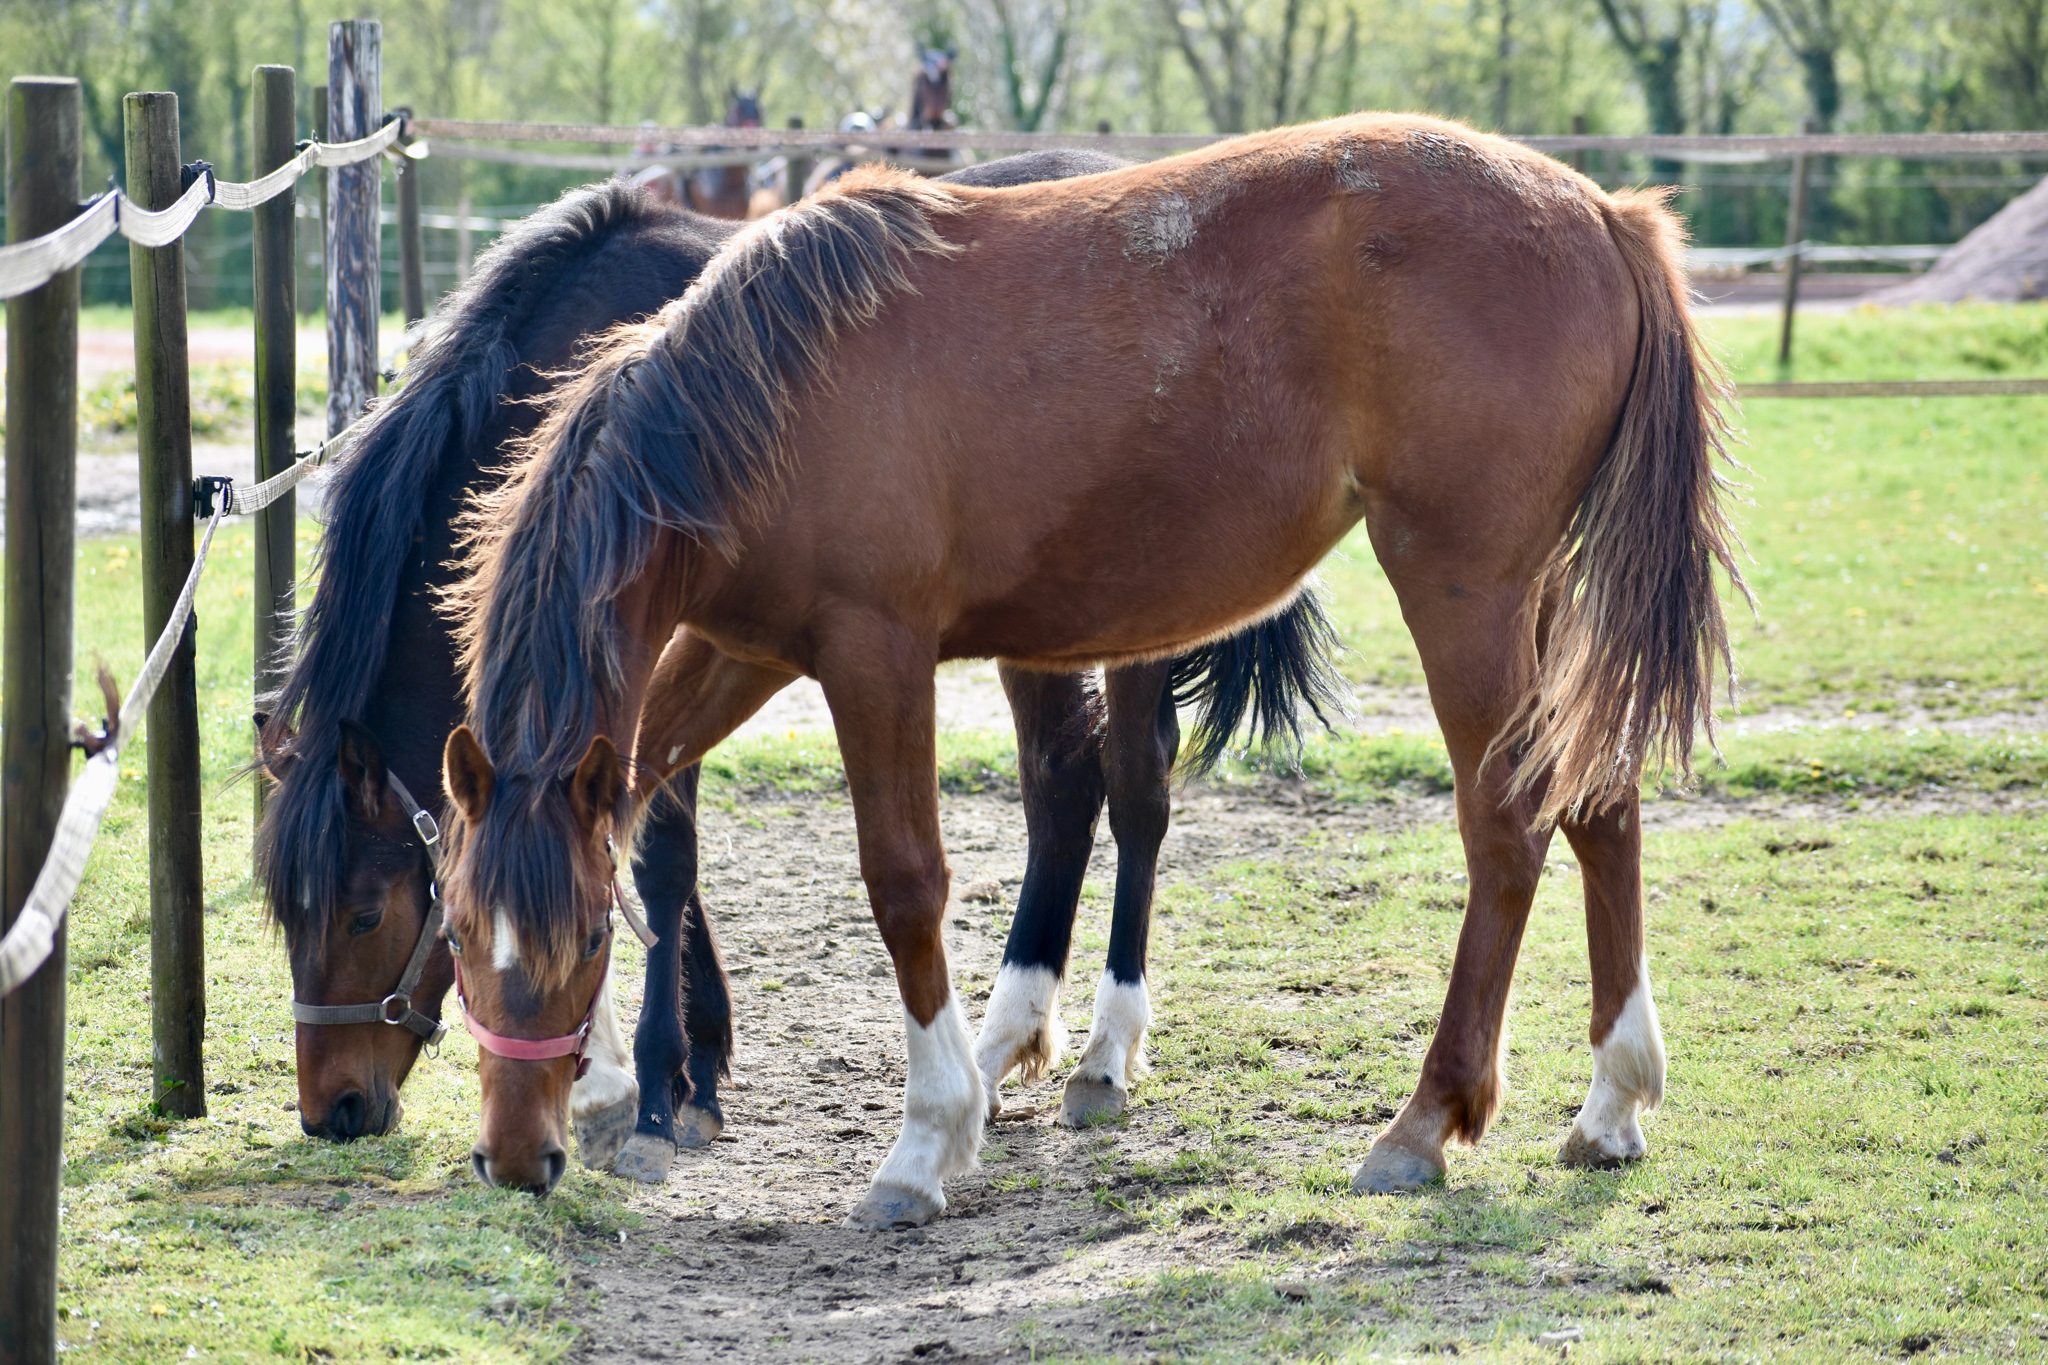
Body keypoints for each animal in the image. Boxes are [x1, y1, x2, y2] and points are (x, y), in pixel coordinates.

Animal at [253, 153, 1344, 1181]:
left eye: (364, 911)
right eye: (286, 914)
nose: (332, 1109)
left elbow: (660, 858)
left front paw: (658, 1086)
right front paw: (666, 1065)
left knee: (1133, 795)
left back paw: (1103, 1054)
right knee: (1061, 790)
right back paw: (1007, 1039)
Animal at [441, 111, 1743, 1226]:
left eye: (584, 945)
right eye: (455, 937)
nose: (512, 1158)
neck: (767, 399)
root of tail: (1602, 212)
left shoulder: (873, 653)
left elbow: (903, 883)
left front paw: (926, 1140)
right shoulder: (736, 651)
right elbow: (631, 799)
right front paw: (617, 1089)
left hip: (1461, 586)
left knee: (1505, 822)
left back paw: (1424, 1122)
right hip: (1540, 597)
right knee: (1596, 800)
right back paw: (1609, 1103)